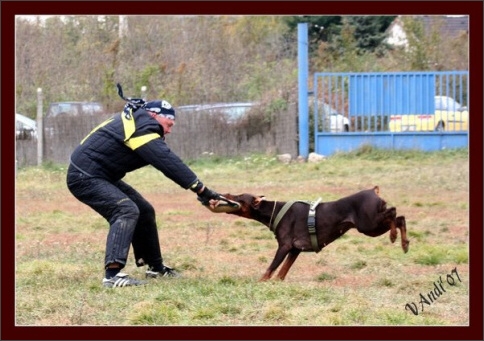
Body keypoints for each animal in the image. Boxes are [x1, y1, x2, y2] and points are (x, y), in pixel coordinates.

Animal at [220, 186, 408, 278]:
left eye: (238, 197)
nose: (223, 193)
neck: (275, 210)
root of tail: (373, 191)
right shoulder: (295, 250)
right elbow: (281, 273)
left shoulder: (284, 247)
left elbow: (269, 270)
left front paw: (260, 284)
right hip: (373, 225)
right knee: (400, 218)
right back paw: (405, 243)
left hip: (369, 225)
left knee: (394, 213)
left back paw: (395, 236)